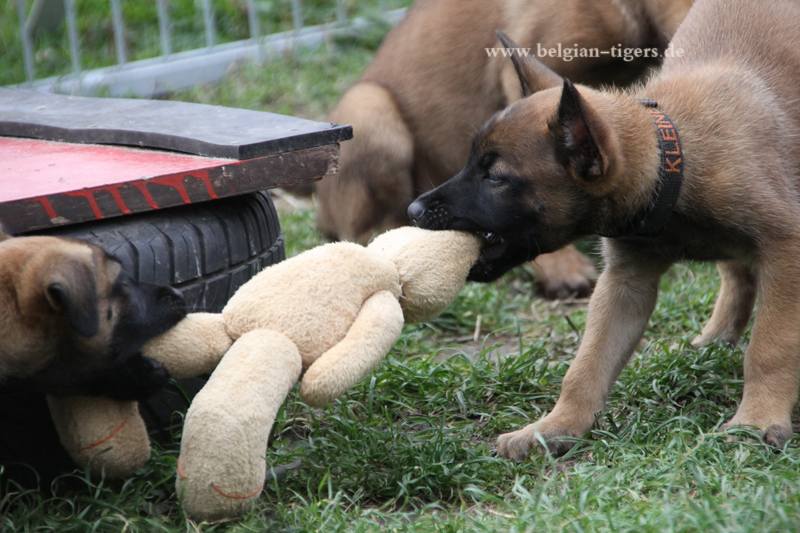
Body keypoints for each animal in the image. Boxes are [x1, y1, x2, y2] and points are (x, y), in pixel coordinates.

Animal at [409, 0, 800, 458]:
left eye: (496, 178)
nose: (413, 209)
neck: (673, 160)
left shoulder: (786, 250)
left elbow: (770, 346)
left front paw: (757, 420)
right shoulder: (624, 283)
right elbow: (587, 365)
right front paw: (554, 427)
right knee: (737, 273)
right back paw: (716, 338)